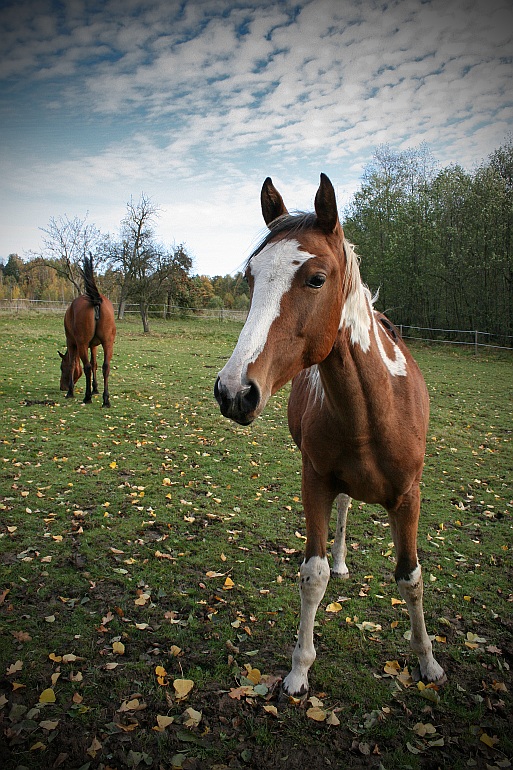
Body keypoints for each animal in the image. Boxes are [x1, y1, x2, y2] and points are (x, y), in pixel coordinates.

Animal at [59, 255, 116, 404]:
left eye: (61, 367)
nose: (62, 387)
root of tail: (96, 300)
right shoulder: (94, 345)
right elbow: (95, 363)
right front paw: (95, 389)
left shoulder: (72, 343)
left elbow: (73, 364)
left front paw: (70, 391)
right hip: (107, 343)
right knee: (105, 366)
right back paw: (106, 400)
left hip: (82, 344)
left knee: (87, 367)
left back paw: (87, 397)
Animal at [214, 174, 446, 696]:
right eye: (250, 278)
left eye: (316, 278)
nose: (234, 391)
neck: (376, 412)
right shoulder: (314, 482)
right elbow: (313, 575)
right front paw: (299, 669)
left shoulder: (409, 497)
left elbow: (411, 578)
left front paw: (427, 662)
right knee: (343, 510)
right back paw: (341, 561)